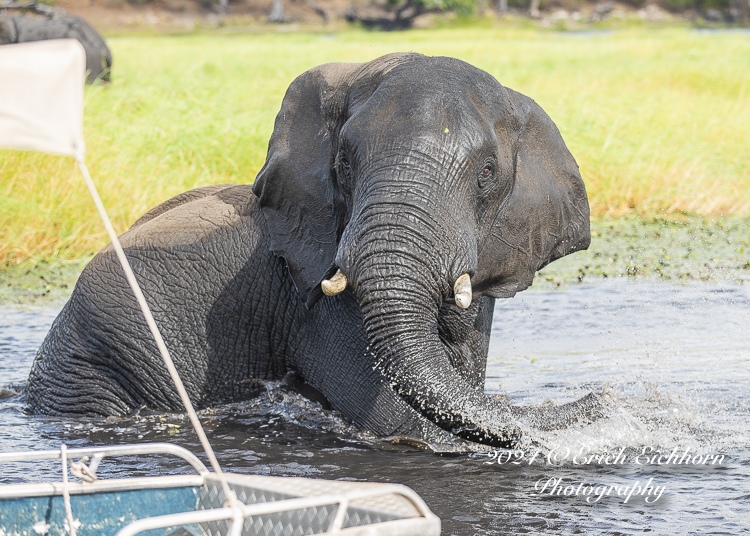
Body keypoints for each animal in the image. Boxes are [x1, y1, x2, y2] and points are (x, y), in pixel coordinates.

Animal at [26, 53, 608, 448]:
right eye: (344, 163)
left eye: (487, 172)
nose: (604, 395)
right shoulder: (315, 305)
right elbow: (401, 423)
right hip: (93, 368)